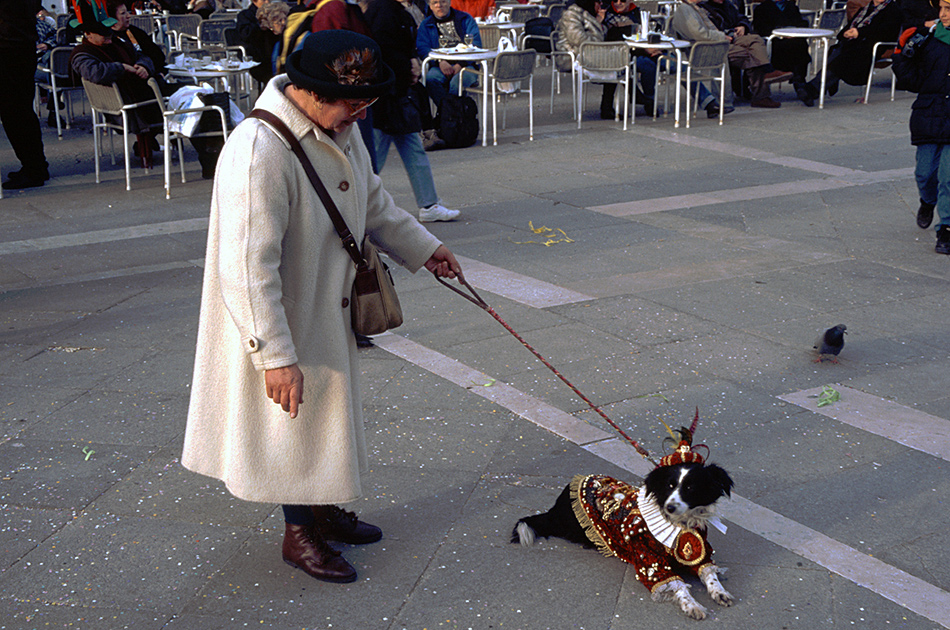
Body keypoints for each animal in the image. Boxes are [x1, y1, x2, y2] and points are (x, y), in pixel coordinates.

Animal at [512, 462, 736, 620]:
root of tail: (558, 503)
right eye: (669, 486)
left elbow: (709, 574)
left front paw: (720, 592)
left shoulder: (700, 553)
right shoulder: (651, 563)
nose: (670, 507)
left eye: (690, 488)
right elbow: (679, 586)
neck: (681, 525)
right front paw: (693, 606)